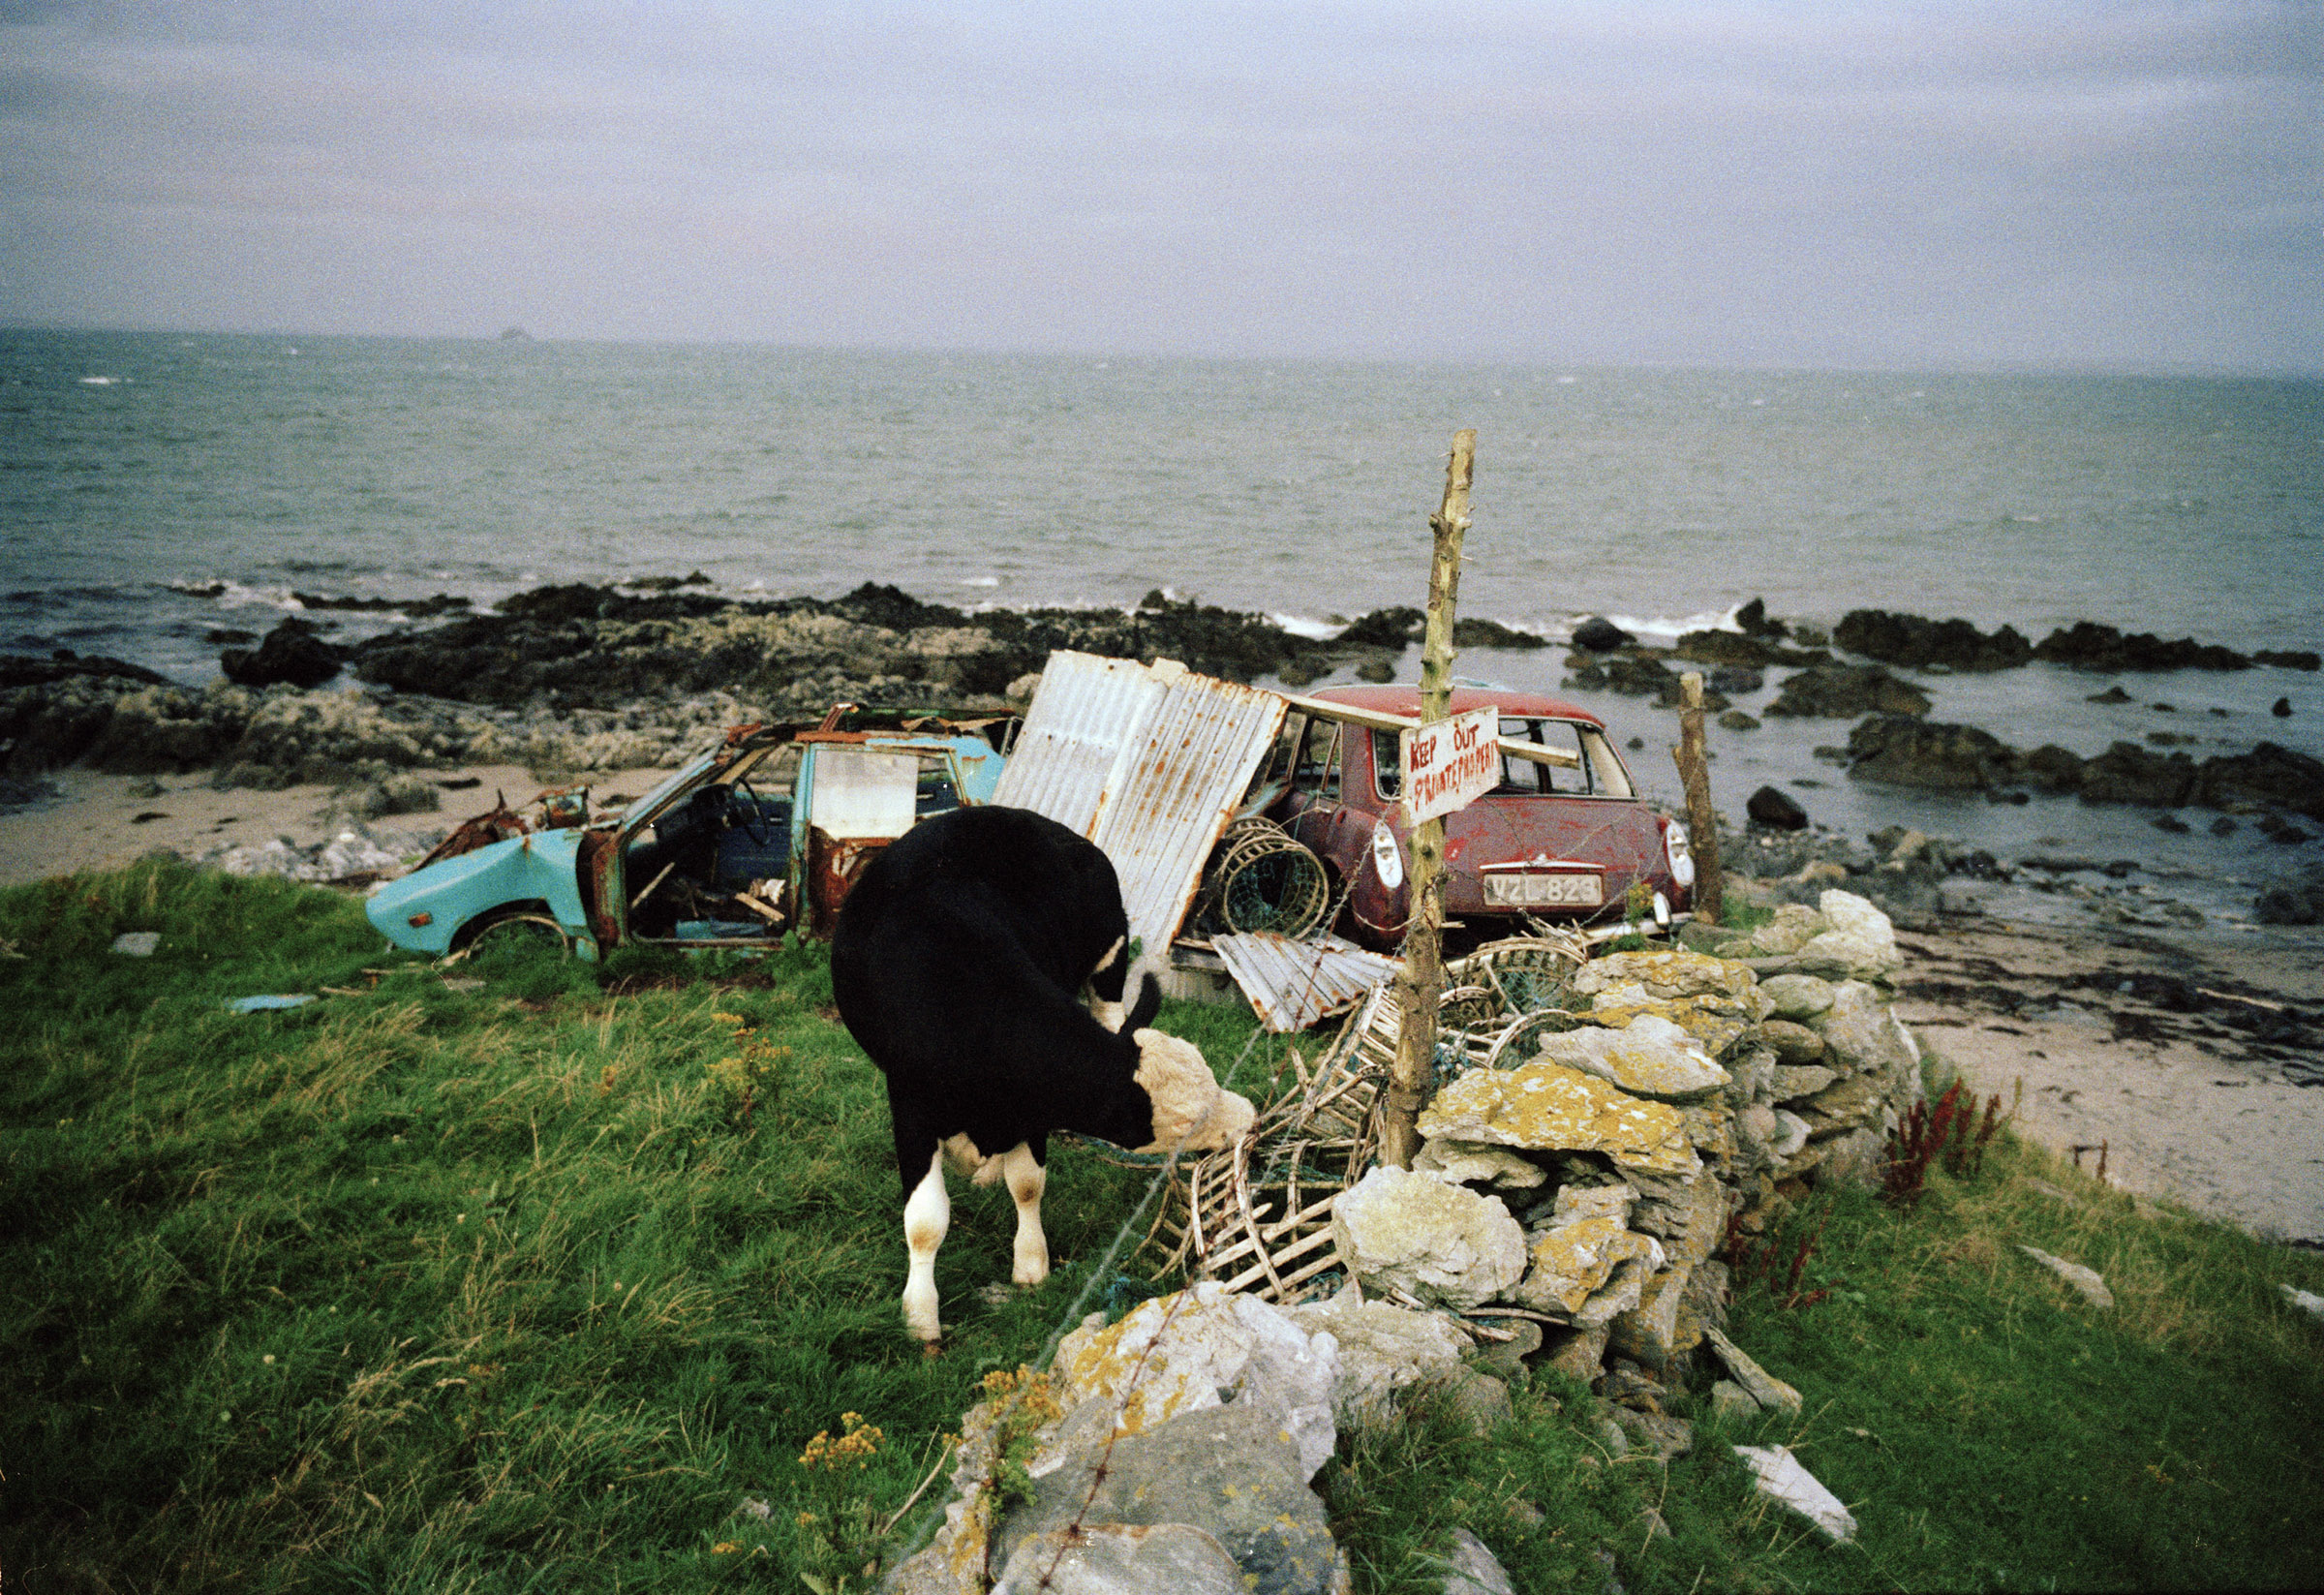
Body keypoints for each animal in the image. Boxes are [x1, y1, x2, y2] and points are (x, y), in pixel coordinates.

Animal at [837, 804, 1255, 1338]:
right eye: (1186, 1120)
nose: (1249, 1115)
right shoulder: (911, 1105)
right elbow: (926, 1222)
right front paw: (921, 1319)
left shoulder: (1032, 1108)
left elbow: (1028, 1184)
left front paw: (1031, 1264)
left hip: (1110, 960)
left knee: (1113, 1019)